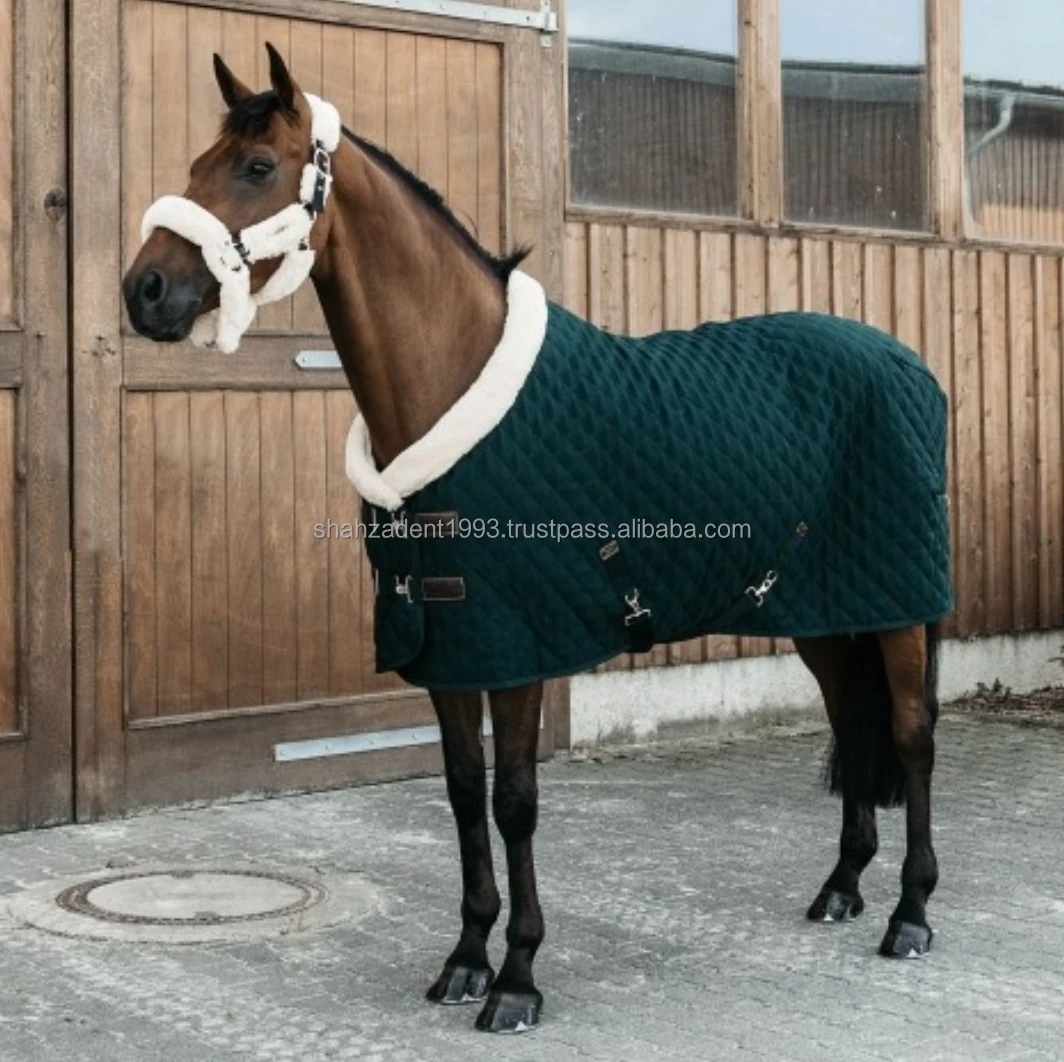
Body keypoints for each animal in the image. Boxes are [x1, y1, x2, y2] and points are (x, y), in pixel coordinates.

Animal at [122, 45, 949, 1034]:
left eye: (255, 167)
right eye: (197, 165)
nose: (144, 292)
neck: (455, 383)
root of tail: (907, 364)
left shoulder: (518, 649)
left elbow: (514, 802)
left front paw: (516, 977)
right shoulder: (450, 645)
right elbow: (462, 794)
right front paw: (465, 960)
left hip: (899, 607)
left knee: (910, 736)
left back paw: (909, 913)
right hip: (826, 612)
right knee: (853, 725)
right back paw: (841, 888)